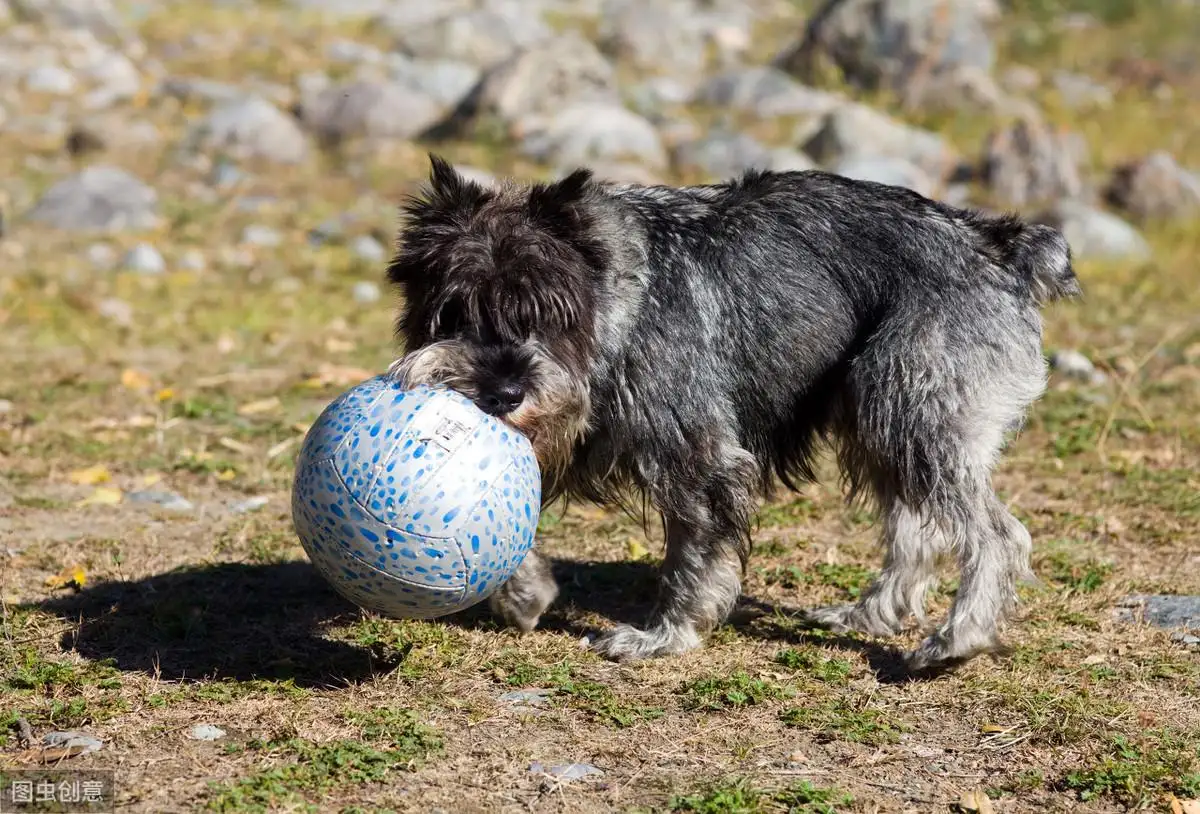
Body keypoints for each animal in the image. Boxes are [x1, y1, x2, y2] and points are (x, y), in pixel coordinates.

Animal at [388, 153, 1084, 677]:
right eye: (452, 310)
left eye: (549, 312)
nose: (503, 394)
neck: (616, 299)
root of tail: (999, 247)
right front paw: (523, 593)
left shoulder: (701, 458)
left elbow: (692, 558)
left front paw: (666, 636)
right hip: (880, 419)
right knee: (917, 534)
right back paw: (866, 615)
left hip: (914, 413)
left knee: (997, 535)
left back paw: (957, 639)